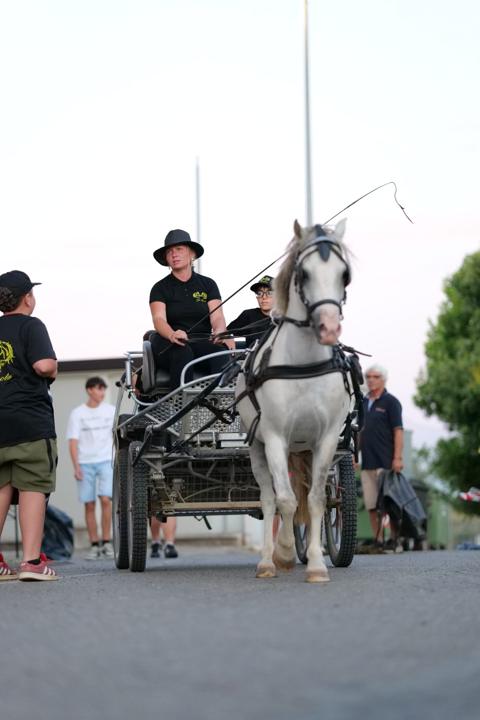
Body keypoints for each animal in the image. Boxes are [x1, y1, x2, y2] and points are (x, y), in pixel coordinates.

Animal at [236, 219, 353, 583]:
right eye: (304, 274)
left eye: (345, 274)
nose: (328, 328)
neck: (303, 366)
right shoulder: (275, 437)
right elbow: (285, 501)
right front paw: (284, 552)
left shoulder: (326, 438)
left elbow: (315, 499)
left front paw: (316, 565)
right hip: (259, 446)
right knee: (268, 497)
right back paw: (268, 558)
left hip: (302, 447)